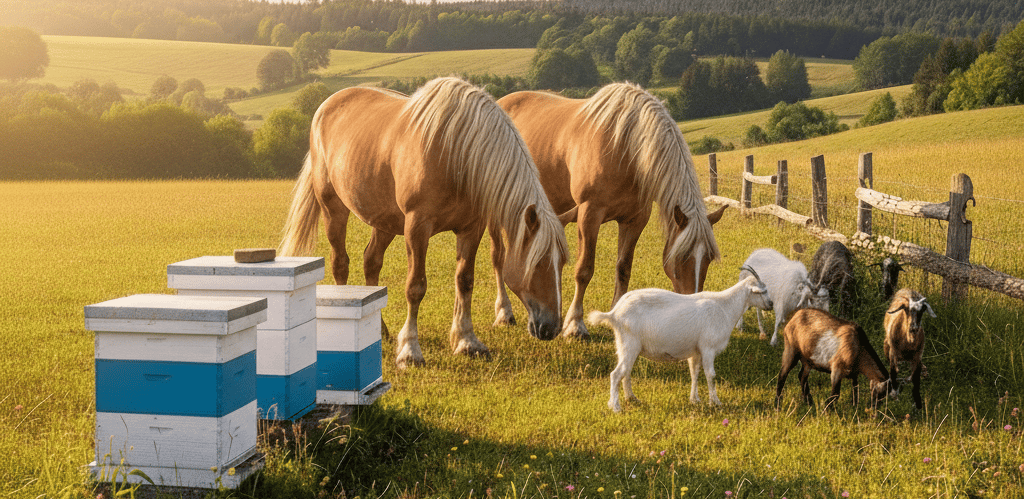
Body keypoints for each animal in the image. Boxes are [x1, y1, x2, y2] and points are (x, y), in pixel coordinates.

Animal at [279, 77, 568, 368]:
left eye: (562, 263)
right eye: (539, 263)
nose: (552, 327)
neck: (456, 152)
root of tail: (326, 105)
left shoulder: (471, 228)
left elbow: (465, 281)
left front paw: (466, 341)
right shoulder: (417, 227)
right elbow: (415, 287)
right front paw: (410, 351)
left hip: (384, 221)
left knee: (371, 262)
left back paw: (379, 329)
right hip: (333, 208)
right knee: (340, 264)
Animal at [493, 82, 725, 340]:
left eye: (708, 259)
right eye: (681, 258)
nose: (693, 311)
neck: (625, 146)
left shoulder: (635, 220)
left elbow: (623, 269)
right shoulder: (589, 214)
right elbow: (584, 270)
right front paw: (575, 326)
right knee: (498, 257)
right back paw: (504, 313)